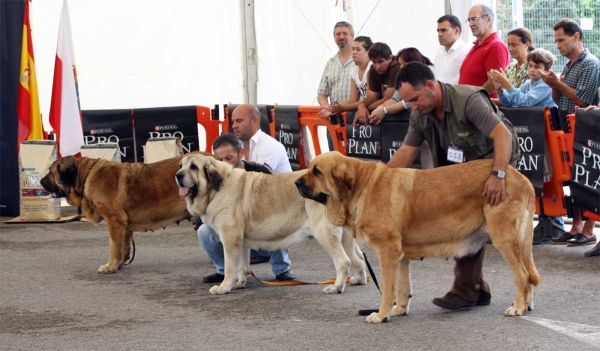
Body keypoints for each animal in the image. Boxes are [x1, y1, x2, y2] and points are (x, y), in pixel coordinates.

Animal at [41, 155, 191, 274]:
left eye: (51, 172)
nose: (40, 182)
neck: (86, 176)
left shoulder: (114, 222)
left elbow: (114, 246)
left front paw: (110, 266)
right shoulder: (125, 227)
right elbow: (124, 246)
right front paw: (119, 263)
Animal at [176, 155, 368, 296]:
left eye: (193, 167)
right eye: (180, 165)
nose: (178, 175)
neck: (217, 188)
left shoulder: (230, 240)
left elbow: (231, 267)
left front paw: (224, 287)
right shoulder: (240, 241)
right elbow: (242, 266)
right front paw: (240, 283)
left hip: (325, 234)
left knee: (344, 261)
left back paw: (336, 287)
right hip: (346, 238)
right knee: (358, 259)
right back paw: (359, 280)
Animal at [296, 152, 540, 324]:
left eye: (317, 172)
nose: (296, 182)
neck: (360, 189)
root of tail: (521, 177)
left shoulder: (387, 253)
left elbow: (388, 290)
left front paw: (381, 314)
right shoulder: (400, 256)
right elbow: (403, 288)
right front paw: (399, 310)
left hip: (504, 239)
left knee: (521, 274)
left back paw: (518, 307)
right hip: (520, 242)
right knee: (528, 274)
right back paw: (526, 305)